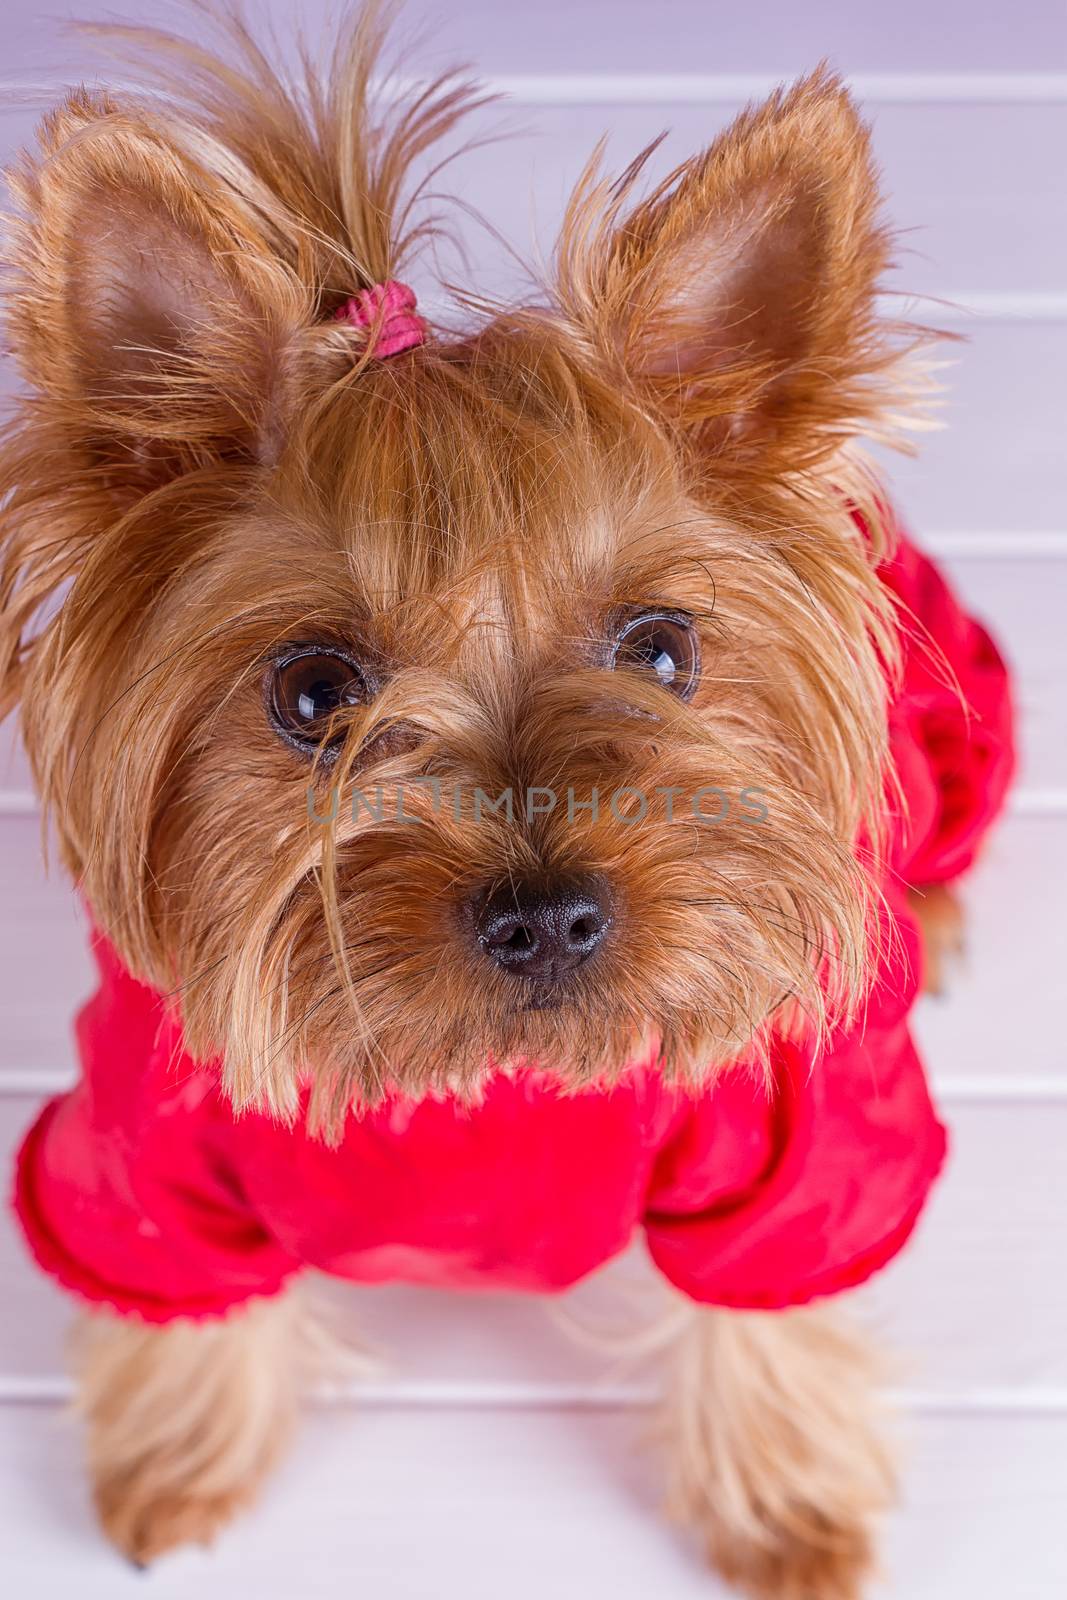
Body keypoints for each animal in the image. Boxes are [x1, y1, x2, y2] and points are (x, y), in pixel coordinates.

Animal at [2, 6, 1017, 1593]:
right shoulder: (140, 1139)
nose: (546, 916)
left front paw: (783, 1504)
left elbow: (771, 1299)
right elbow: (167, 1284)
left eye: (659, 649)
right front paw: (178, 1460)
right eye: (315, 691)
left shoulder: (802, 1136)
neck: (478, 1088)